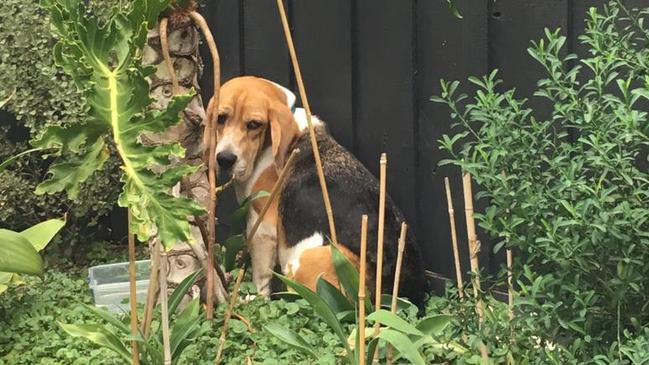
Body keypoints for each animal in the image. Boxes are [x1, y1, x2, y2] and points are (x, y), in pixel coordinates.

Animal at [214, 75, 426, 306]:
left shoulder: (262, 226)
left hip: (307, 259)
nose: (225, 159)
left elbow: (261, 275)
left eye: (254, 125)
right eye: (220, 118)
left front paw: (255, 298)